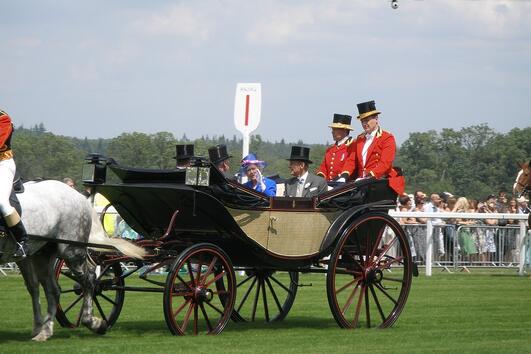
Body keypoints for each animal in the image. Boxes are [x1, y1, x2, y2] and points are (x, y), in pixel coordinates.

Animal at [0, 181, 145, 342]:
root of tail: (81, 197)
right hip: (39, 254)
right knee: (49, 289)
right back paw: (44, 330)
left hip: (71, 251)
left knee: (88, 281)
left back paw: (93, 323)